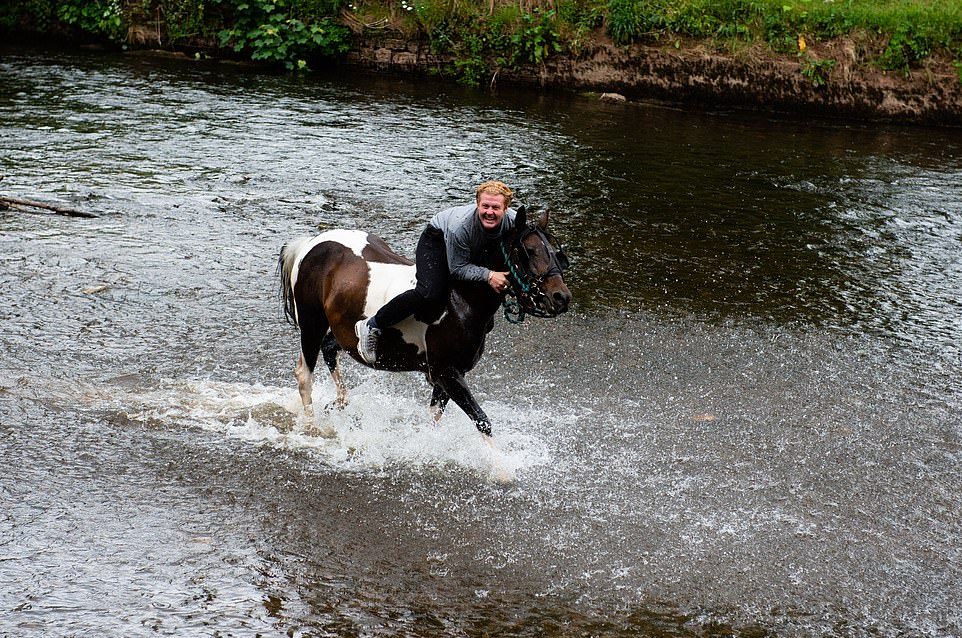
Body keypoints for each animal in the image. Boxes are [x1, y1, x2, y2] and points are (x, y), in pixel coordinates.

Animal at [274, 208, 568, 438]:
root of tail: (311, 243)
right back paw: (312, 427)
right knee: (305, 374)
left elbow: (434, 416)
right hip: (311, 324)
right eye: (528, 251)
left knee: (329, 350)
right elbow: (482, 420)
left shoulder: (449, 377)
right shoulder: (446, 373)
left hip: (343, 333)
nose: (562, 297)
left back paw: (340, 402)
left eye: (555, 253)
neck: (461, 299)